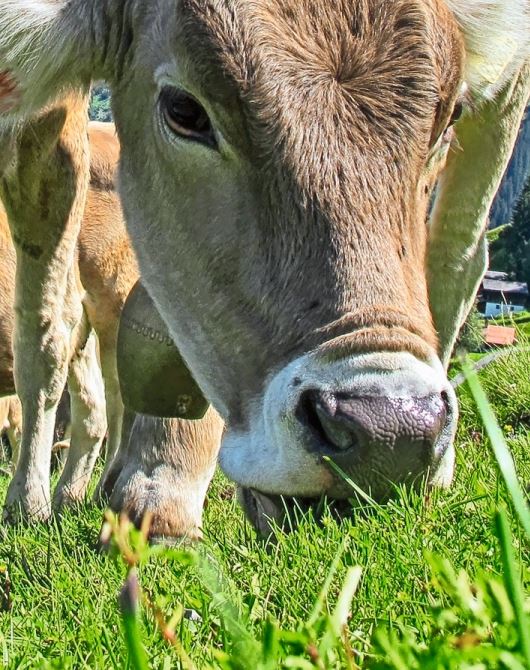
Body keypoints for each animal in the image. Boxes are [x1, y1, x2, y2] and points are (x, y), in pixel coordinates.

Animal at [0, 1, 524, 536]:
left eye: (449, 117)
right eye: (184, 112)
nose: (390, 432)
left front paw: (158, 491)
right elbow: (43, 333)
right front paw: (30, 503)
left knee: (460, 250)